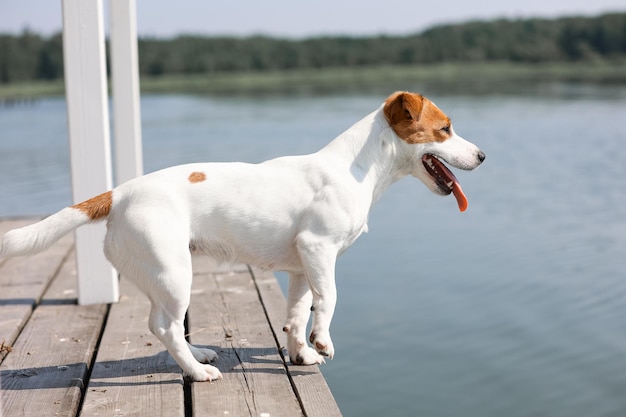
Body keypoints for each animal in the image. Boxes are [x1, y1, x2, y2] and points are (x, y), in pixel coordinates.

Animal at [0, 91, 482, 380]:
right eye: (445, 128)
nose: (482, 155)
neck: (357, 168)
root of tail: (118, 193)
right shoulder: (319, 249)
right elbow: (328, 300)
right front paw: (322, 342)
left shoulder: (301, 267)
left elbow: (298, 313)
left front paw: (301, 353)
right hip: (174, 274)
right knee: (165, 327)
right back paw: (197, 372)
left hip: (160, 275)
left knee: (163, 325)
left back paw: (200, 356)